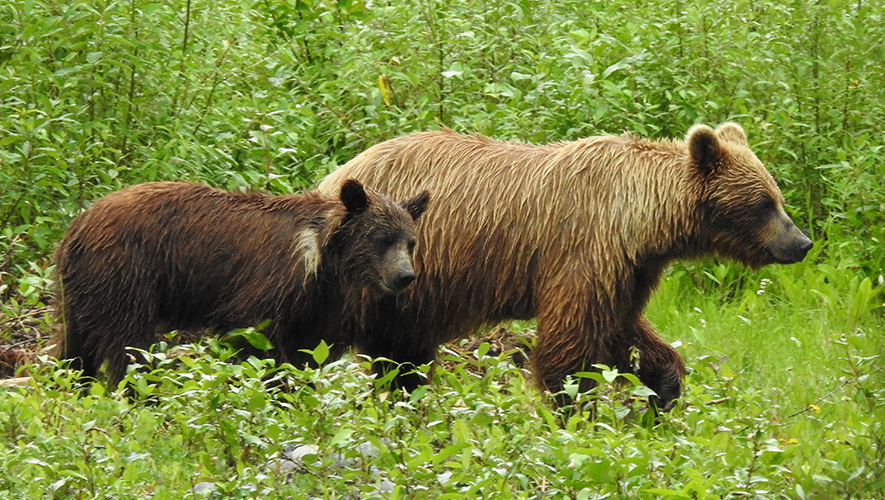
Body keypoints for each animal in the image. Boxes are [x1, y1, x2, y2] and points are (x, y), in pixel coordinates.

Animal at [51, 179, 430, 389]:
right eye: (383, 240)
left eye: (410, 242)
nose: (405, 276)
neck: (322, 259)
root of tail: (78, 223)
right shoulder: (270, 282)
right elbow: (257, 341)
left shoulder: (316, 304)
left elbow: (306, 351)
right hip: (126, 270)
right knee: (129, 342)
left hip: (82, 287)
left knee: (76, 344)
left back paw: (73, 384)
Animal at [318, 123, 813, 410]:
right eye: (764, 204)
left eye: (777, 197)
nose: (801, 243)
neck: (641, 220)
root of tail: (334, 176)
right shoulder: (583, 249)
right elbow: (571, 345)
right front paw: (574, 407)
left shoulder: (629, 268)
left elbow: (624, 331)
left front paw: (663, 389)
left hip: (409, 296)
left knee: (402, 355)